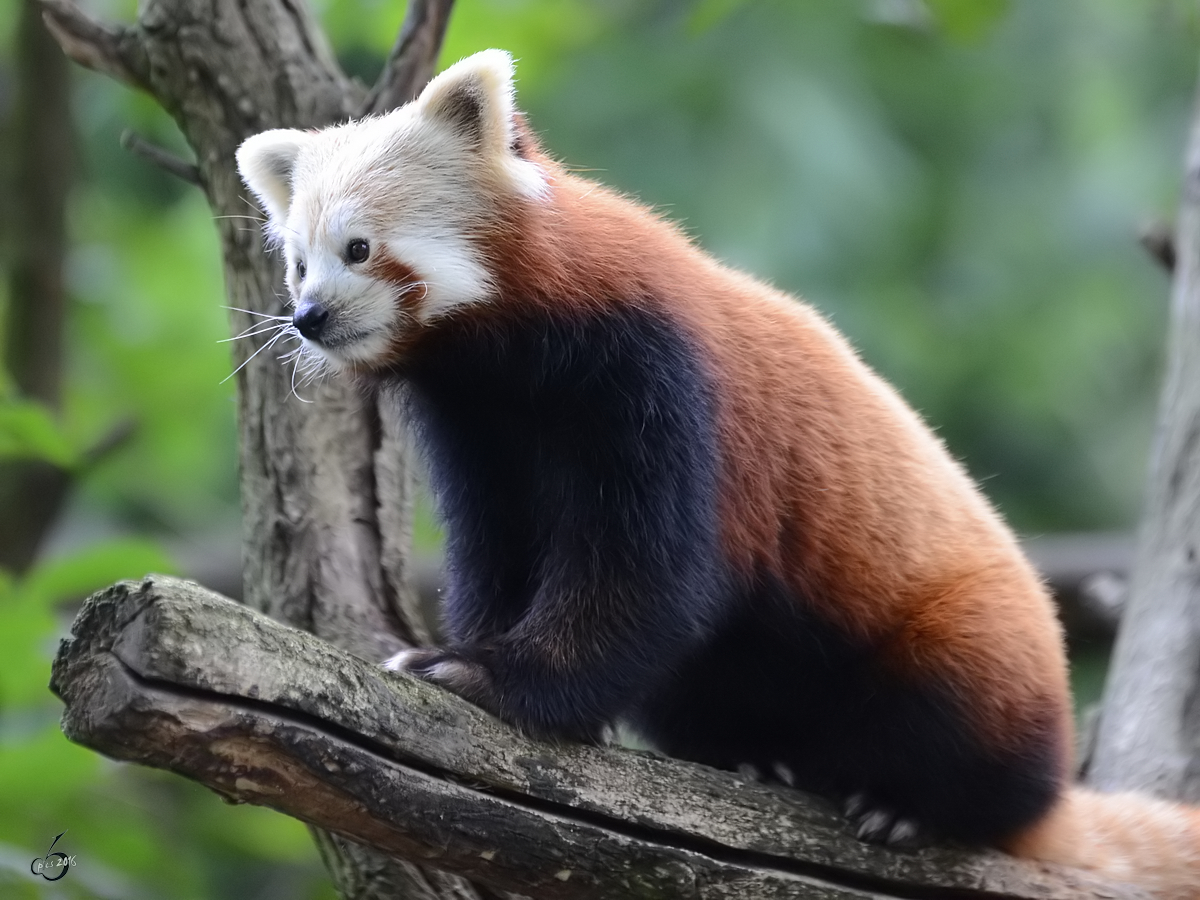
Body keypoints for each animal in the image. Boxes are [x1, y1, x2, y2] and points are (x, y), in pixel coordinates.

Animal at [234, 47, 1200, 897]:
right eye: (296, 260)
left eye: (358, 248)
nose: (309, 316)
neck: (511, 357)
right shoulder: (480, 430)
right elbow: (503, 550)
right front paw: (468, 649)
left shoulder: (651, 378)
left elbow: (650, 577)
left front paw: (494, 680)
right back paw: (752, 756)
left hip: (977, 646)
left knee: (961, 719)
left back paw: (907, 804)